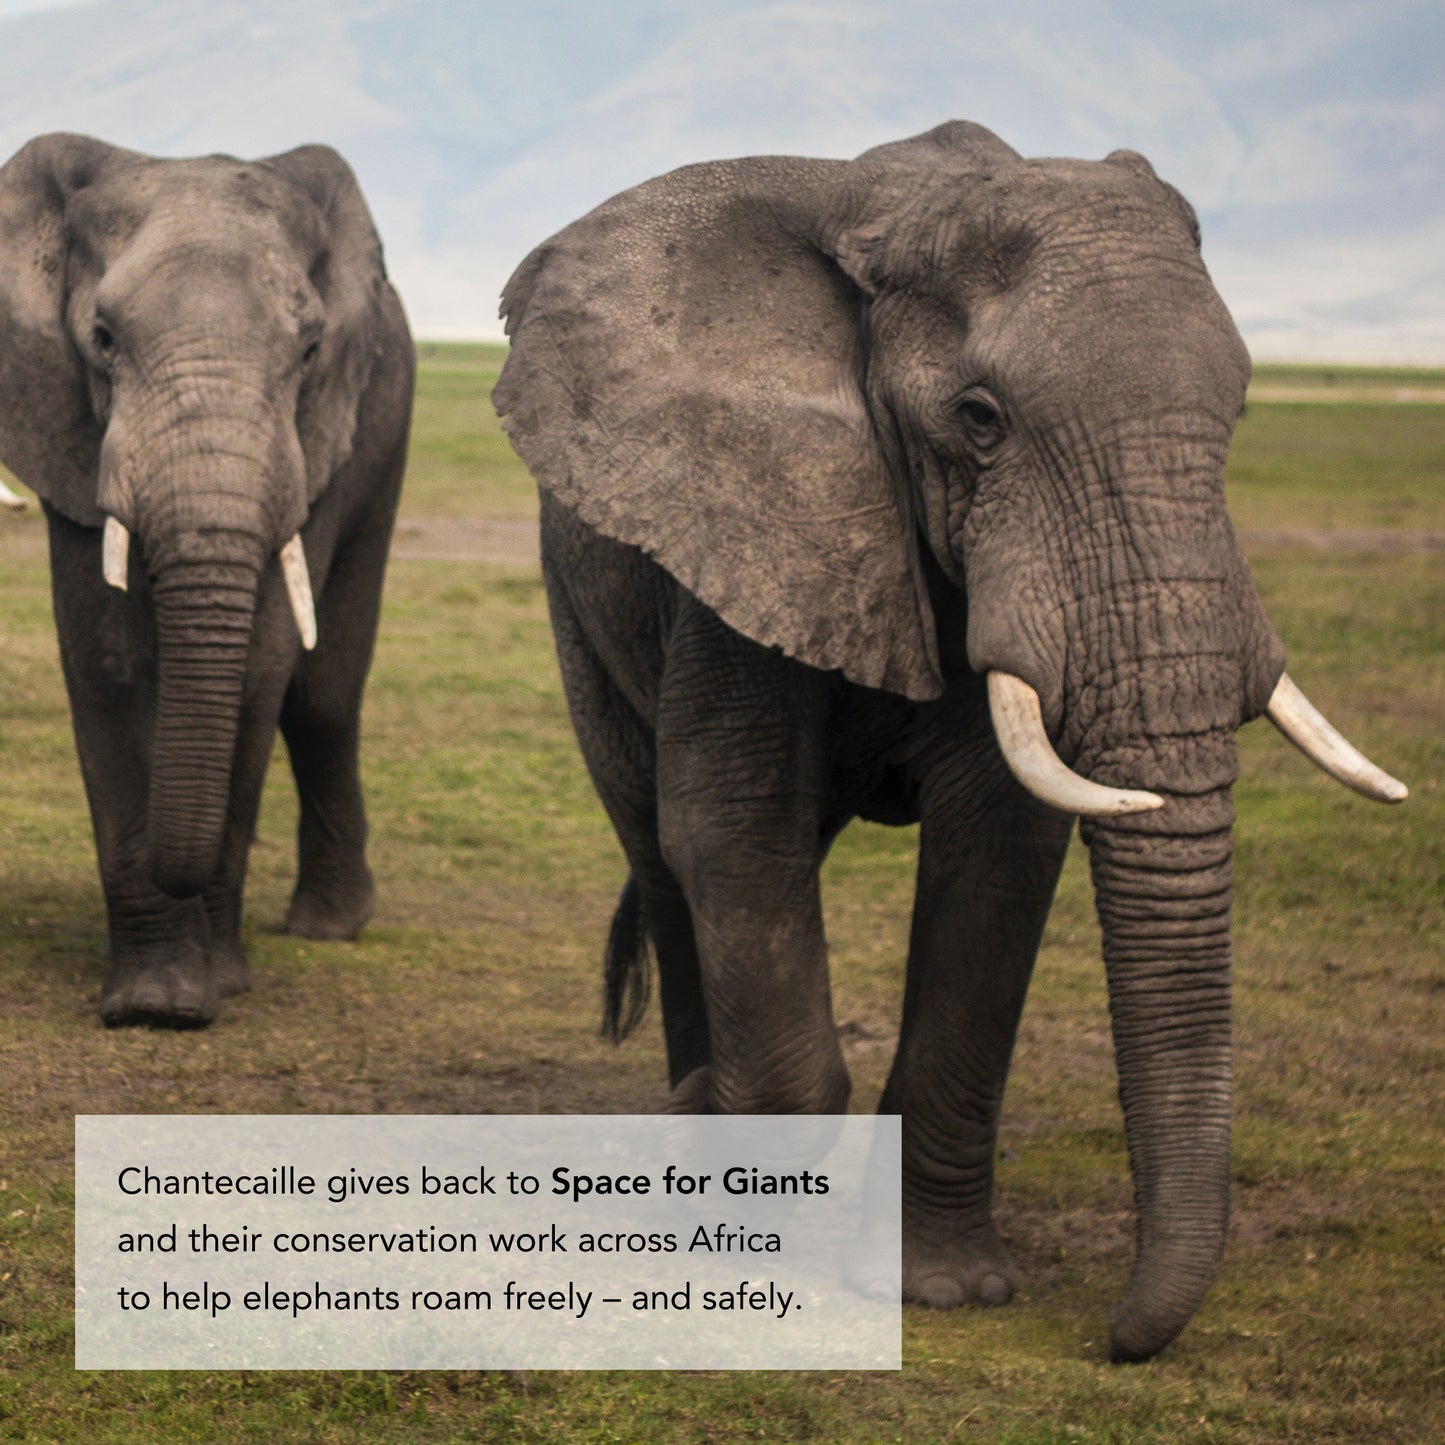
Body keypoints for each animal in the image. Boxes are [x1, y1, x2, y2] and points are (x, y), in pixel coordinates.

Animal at [0, 134, 414, 1028]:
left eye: (310, 351)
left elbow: (261, 664)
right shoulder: (65, 422)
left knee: (323, 694)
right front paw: (155, 1003)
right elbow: (107, 658)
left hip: (385, 431)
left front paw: (214, 987)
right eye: (102, 338)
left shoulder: (316, 437)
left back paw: (330, 926)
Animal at [494, 121, 1407, 1361]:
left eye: (1239, 411)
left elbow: (998, 855)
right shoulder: (749, 519)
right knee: (658, 843)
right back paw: (690, 1123)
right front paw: (740, 1218)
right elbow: (732, 829)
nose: (1116, 1336)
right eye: (979, 419)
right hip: (575, 600)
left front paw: (947, 1290)